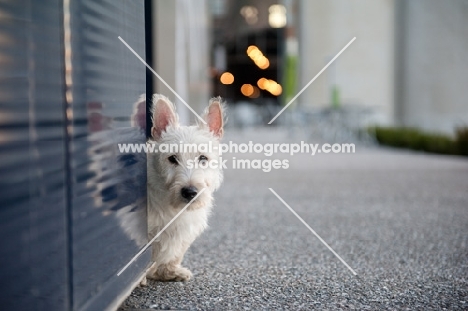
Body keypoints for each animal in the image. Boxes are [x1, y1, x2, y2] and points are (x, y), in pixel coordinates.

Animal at [147, 94, 226, 282]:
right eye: (172, 158)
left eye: (203, 158)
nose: (190, 192)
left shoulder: (186, 228)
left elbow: (176, 252)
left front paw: (169, 272)